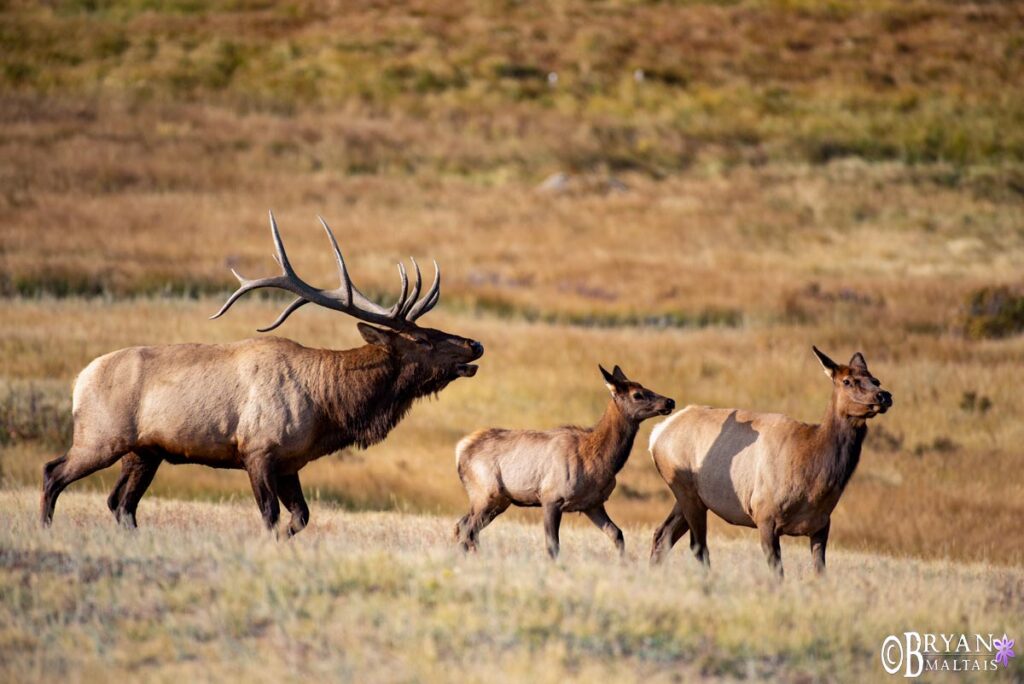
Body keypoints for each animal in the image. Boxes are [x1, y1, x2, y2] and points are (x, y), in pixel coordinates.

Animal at [40, 214, 483, 532]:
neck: (328, 407)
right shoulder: (258, 451)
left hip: (144, 452)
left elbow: (300, 518)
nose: (474, 345)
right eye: (423, 339)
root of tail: (79, 380)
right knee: (53, 473)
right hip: (100, 436)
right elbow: (270, 515)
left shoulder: (290, 463)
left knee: (120, 504)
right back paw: (45, 529)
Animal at [454, 366, 671, 557]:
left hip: (499, 500)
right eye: (637, 394)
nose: (669, 401)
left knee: (462, 526)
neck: (599, 461)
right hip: (486, 492)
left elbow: (617, 533)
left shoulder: (592, 504)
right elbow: (553, 546)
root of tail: (460, 449)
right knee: (467, 529)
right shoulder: (551, 497)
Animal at [651, 348, 892, 577]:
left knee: (662, 534)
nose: (884, 395)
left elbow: (820, 572)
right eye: (847, 381)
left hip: (691, 497)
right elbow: (778, 574)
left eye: (876, 379)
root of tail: (656, 434)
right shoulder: (765, 516)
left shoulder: (821, 524)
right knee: (697, 545)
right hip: (686, 490)